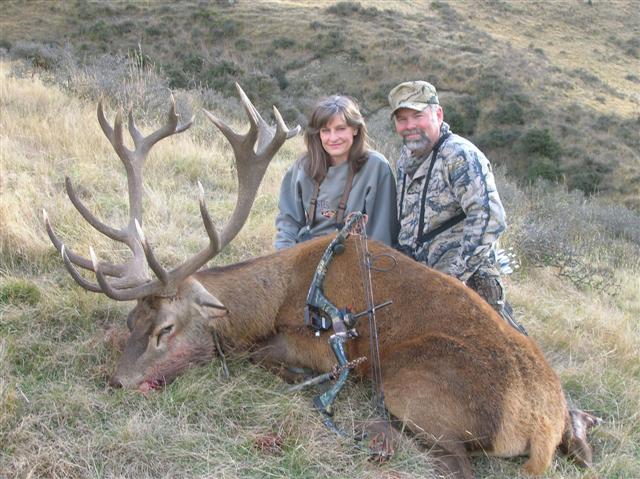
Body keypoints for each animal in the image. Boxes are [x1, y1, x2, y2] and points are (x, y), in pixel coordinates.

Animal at [44, 84, 599, 479]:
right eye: (132, 322)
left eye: (167, 329)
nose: (117, 381)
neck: (271, 301)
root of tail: (539, 421)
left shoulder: (322, 350)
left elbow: (262, 356)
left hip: (412, 382)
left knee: (456, 463)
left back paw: (377, 434)